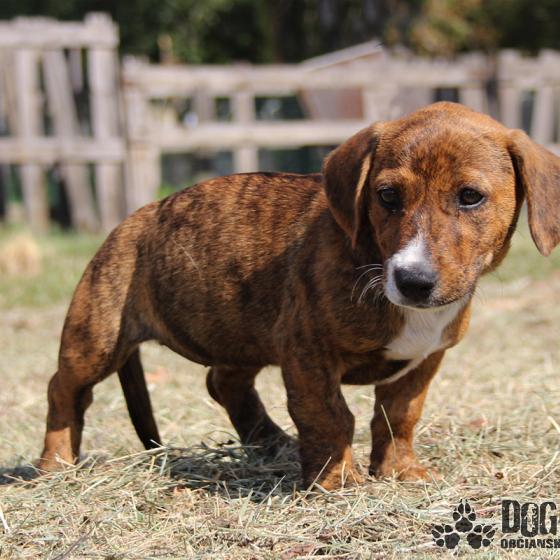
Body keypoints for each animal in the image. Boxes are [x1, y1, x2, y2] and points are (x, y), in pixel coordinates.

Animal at [39, 102, 560, 489]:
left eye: (470, 196)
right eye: (387, 196)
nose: (413, 280)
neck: (371, 258)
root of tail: (132, 220)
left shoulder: (424, 360)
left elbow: (399, 417)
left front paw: (398, 470)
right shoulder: (308, 352)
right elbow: (330, 416)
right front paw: (337, 481)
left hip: (240, 332)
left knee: (224, 383)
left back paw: (271, 442)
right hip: (97, 337)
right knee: (64, 390)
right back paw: (54, 463)